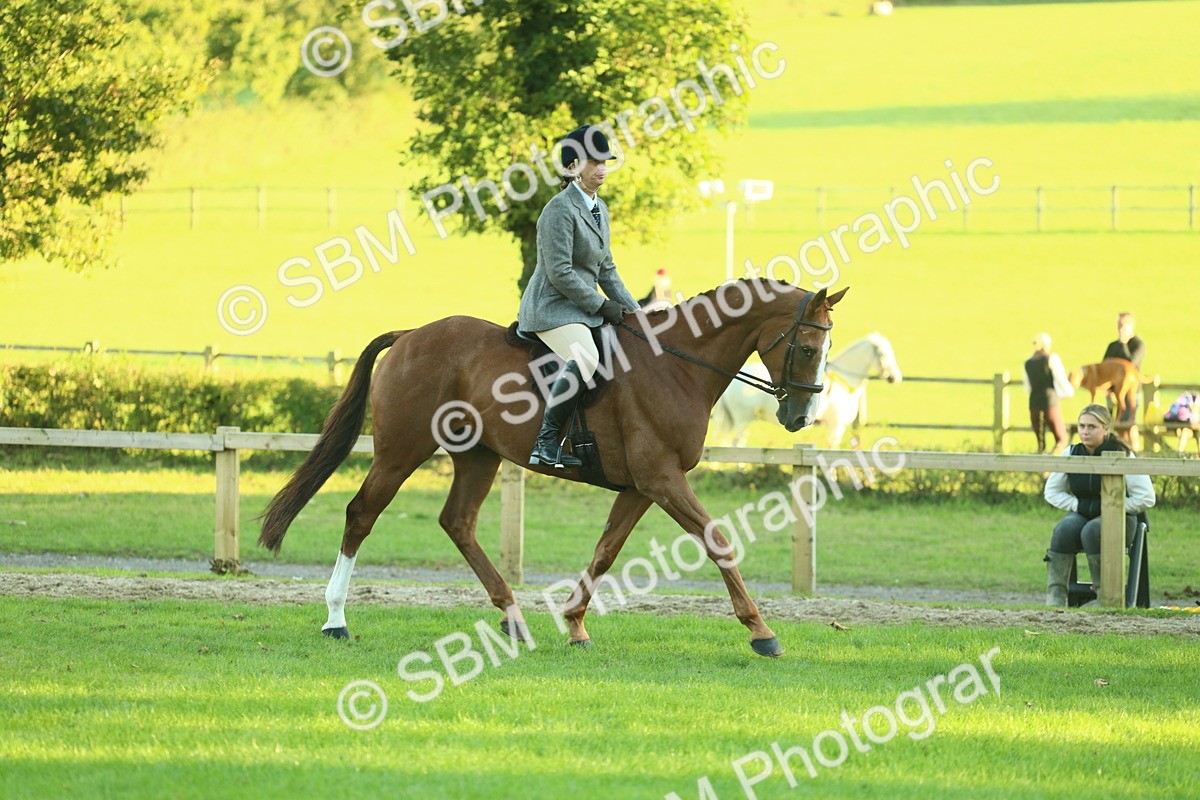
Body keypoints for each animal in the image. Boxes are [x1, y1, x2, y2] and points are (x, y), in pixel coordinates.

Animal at [259, 280, 847, 658]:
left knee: (458, 523)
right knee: (361, 514)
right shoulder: (661, 479)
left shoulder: (643, 486)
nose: (800, 417)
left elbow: (606, 551)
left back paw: (512, 617)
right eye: (807, 346)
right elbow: (717, 541)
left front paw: (575, 625)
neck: (676, 366)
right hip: (401, 450)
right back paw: (336, 619)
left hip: (478, 456)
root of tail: (410, 335)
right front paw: (761, 632)